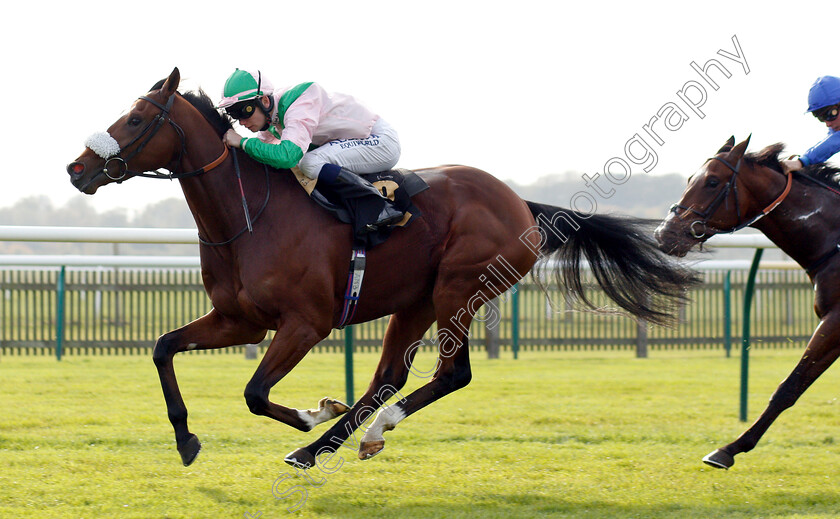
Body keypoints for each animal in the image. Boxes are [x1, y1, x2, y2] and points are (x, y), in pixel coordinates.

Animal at [67, 67, 696, 470]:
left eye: (137, 118)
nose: (77, 168)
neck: (250, 216)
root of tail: (521, 203)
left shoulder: (306, 324)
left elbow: (254, 392)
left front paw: (310, 414)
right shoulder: (239, 320)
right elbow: (163, 348)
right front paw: (186, 440)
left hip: (459, 289)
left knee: (449, 375)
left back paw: (355, 434)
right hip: (414, 301)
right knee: (388, 375)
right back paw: (328, 446)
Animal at [652, 136, 840, 470]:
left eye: (712, 181)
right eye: (689, 179)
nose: (664, 235)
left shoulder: (835, 320)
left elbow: (789, 387)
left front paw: (728, 449)